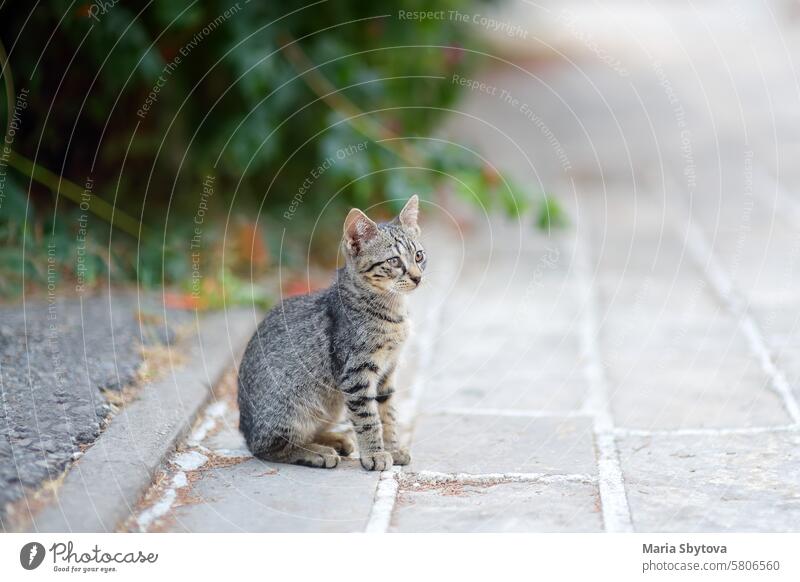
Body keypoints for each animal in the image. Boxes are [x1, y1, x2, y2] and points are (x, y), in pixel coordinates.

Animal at [238, 196, 424, 470]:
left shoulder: (387, 372)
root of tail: (246, 429)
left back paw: (335, 439)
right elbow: (368, 418)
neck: (392, 309)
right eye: (394, 261)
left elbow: (387, 413)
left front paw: (392, 447)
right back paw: (318, 452)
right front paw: (375, 454)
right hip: (295, 407)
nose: (418, 277)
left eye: (419, 256)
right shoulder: (356, 374)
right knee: (270, 448)